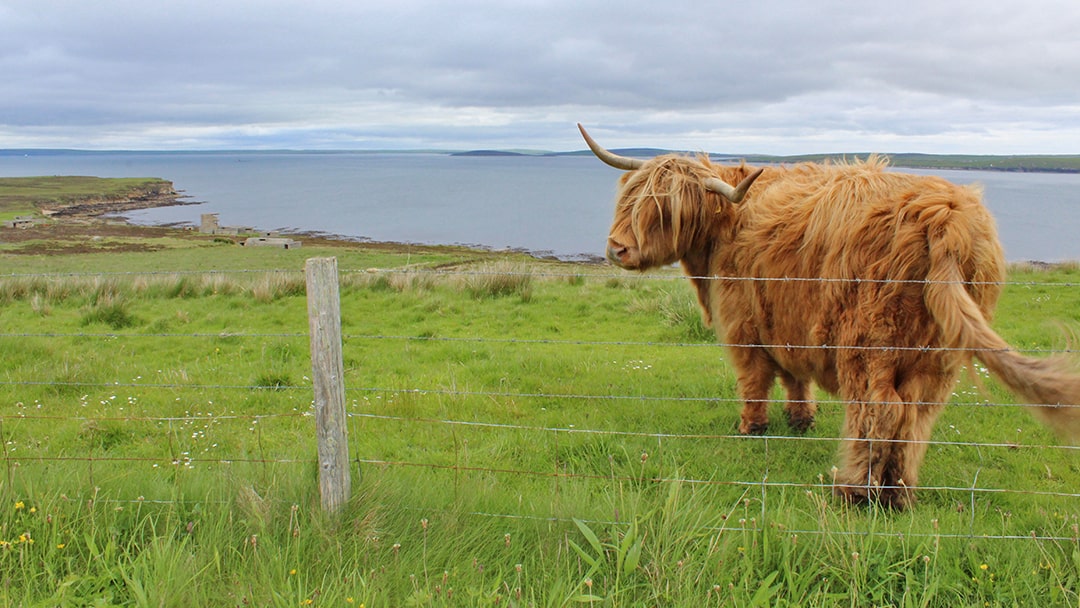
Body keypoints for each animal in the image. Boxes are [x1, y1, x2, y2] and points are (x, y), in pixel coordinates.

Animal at [583, 123, 1080, 509]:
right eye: (628, 201)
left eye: (664, 210)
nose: (617, 248)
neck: (723, 228)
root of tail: (944, 217)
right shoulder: (787, 322)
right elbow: (793, 376)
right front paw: (801, 420)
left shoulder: (744, 322)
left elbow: (753, 378)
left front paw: (751, 427)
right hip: (940, 355)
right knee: (917, 414)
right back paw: (899, 493)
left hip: (867, 341)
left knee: (878, 410)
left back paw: (854, 490)